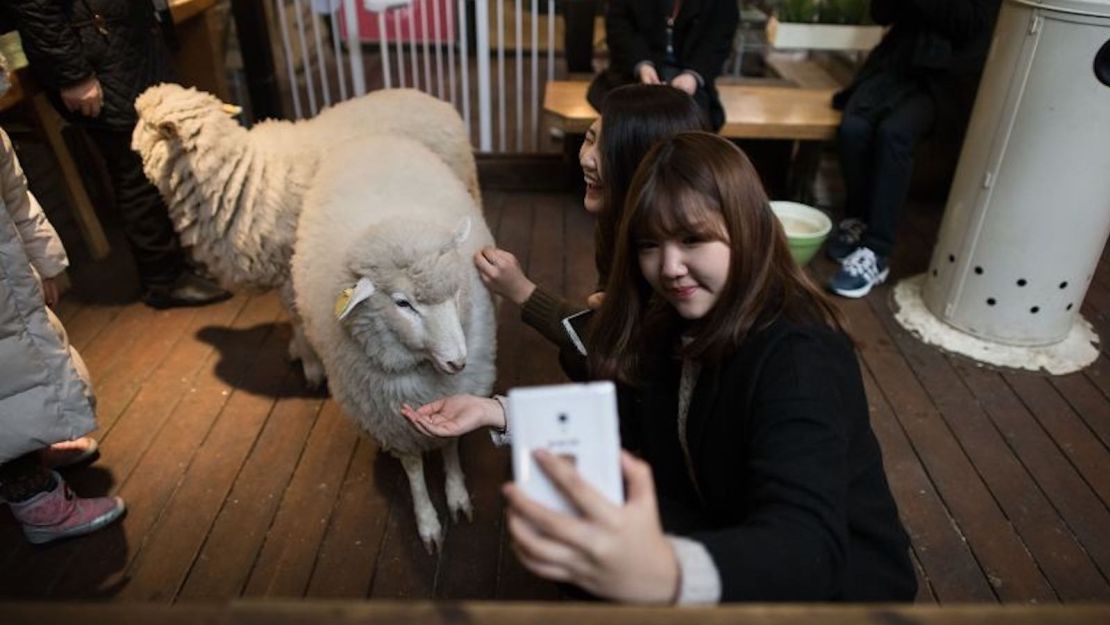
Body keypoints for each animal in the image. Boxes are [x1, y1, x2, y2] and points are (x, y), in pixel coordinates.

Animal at [132, 83, 479, 386]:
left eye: (145, 123)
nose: (130, 143)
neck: (241, 175)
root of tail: (440, 104)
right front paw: (299, 351)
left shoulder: (290, 267)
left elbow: (297, 316)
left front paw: (311, 363)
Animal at [290, 133, 495, 552]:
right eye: (403, 304)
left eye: (456, 291)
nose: (458, 362)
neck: (424, 373)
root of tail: (373, 138)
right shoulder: (389, 418)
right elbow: (414, 467)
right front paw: (428, 522)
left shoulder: (457, 393)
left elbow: (450, 446)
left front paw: (457, 495)